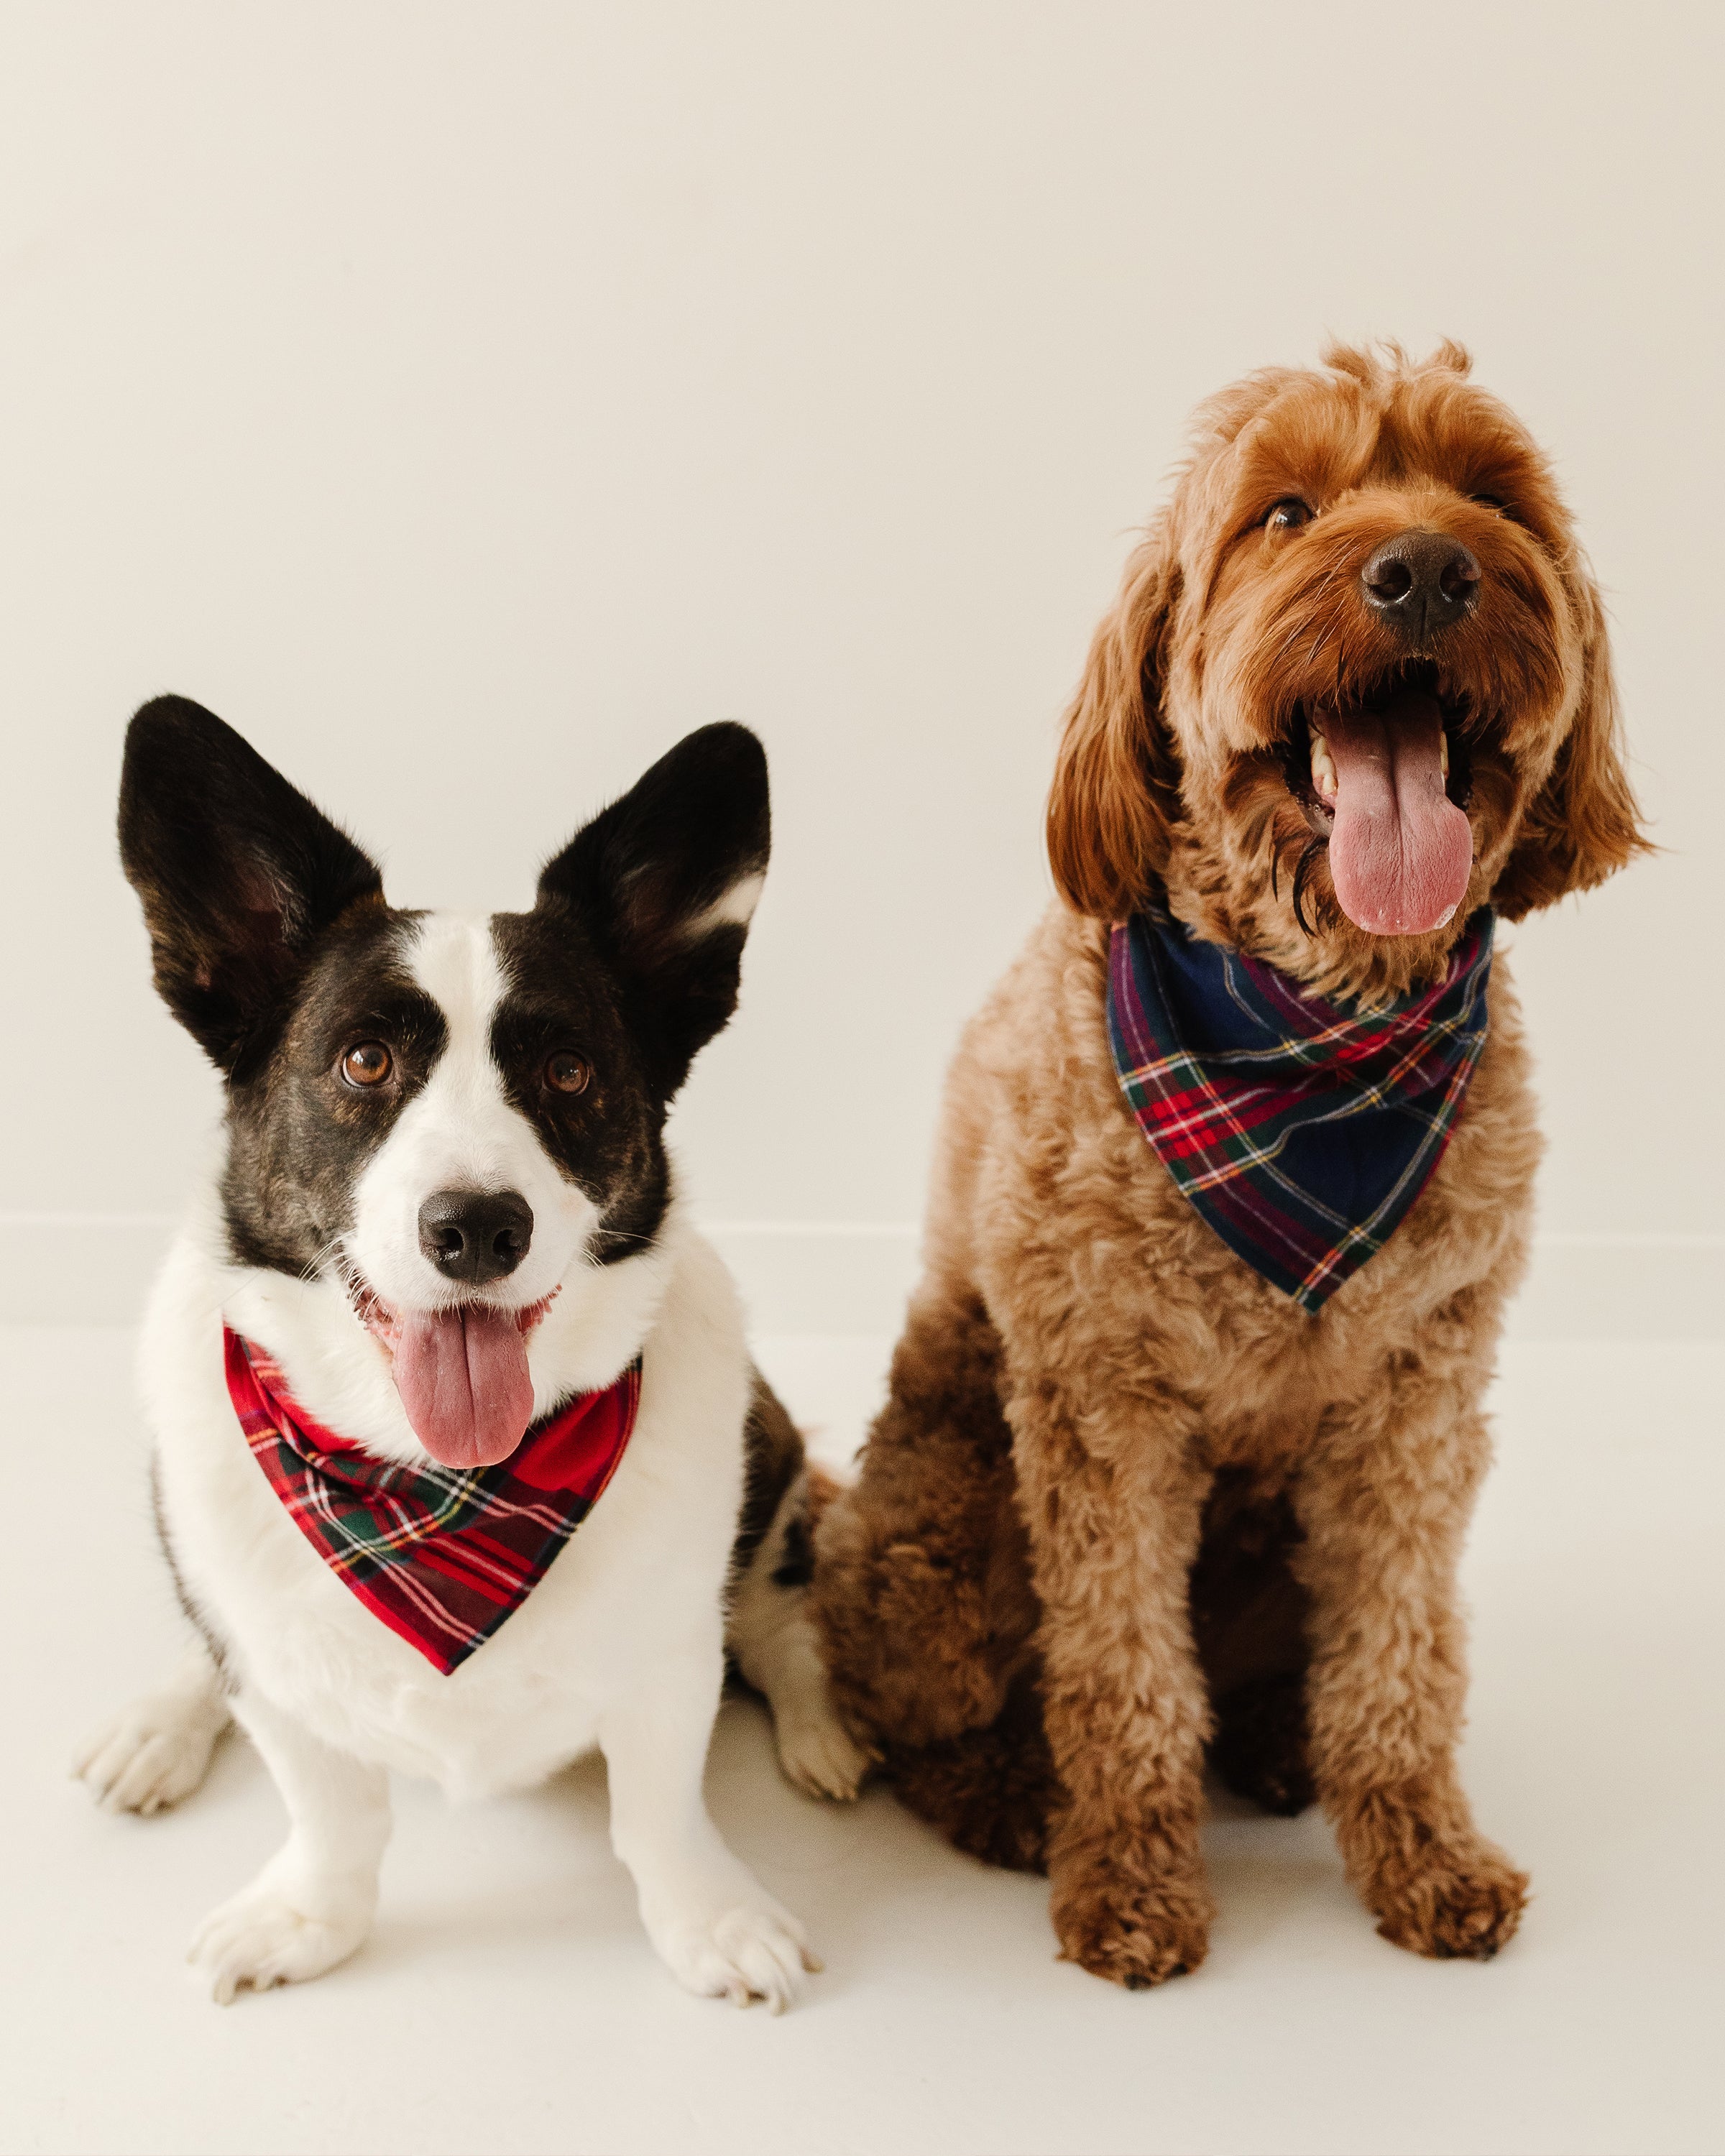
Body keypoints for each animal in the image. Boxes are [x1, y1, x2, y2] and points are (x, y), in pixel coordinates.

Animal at [75, 699, 871, 2009]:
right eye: (363, 1062)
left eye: (568, 1070)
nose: (478, 1227)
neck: (431, 1485)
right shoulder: (283, 1680)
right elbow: (332, 1814)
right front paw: (310, 1919)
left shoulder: (668, 1665)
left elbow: (663, 1814)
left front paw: (710, 1922)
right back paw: (156, 1725)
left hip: (770, 1454)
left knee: (775, 1615)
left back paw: (820, 1728)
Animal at [811, 341, 1647, 1984]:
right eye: (1285, 511)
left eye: (1491, 495)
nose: (1426, 568)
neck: (1315, 1043)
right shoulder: (1101, 1408)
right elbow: (1123, 1675)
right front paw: (1130, 1879)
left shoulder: (1419, 1404)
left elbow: (1396, 1661)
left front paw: (1420, 1851)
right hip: (936, 1526)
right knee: (926, 1710)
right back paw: (1012, 1796)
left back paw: (1276, 1749)